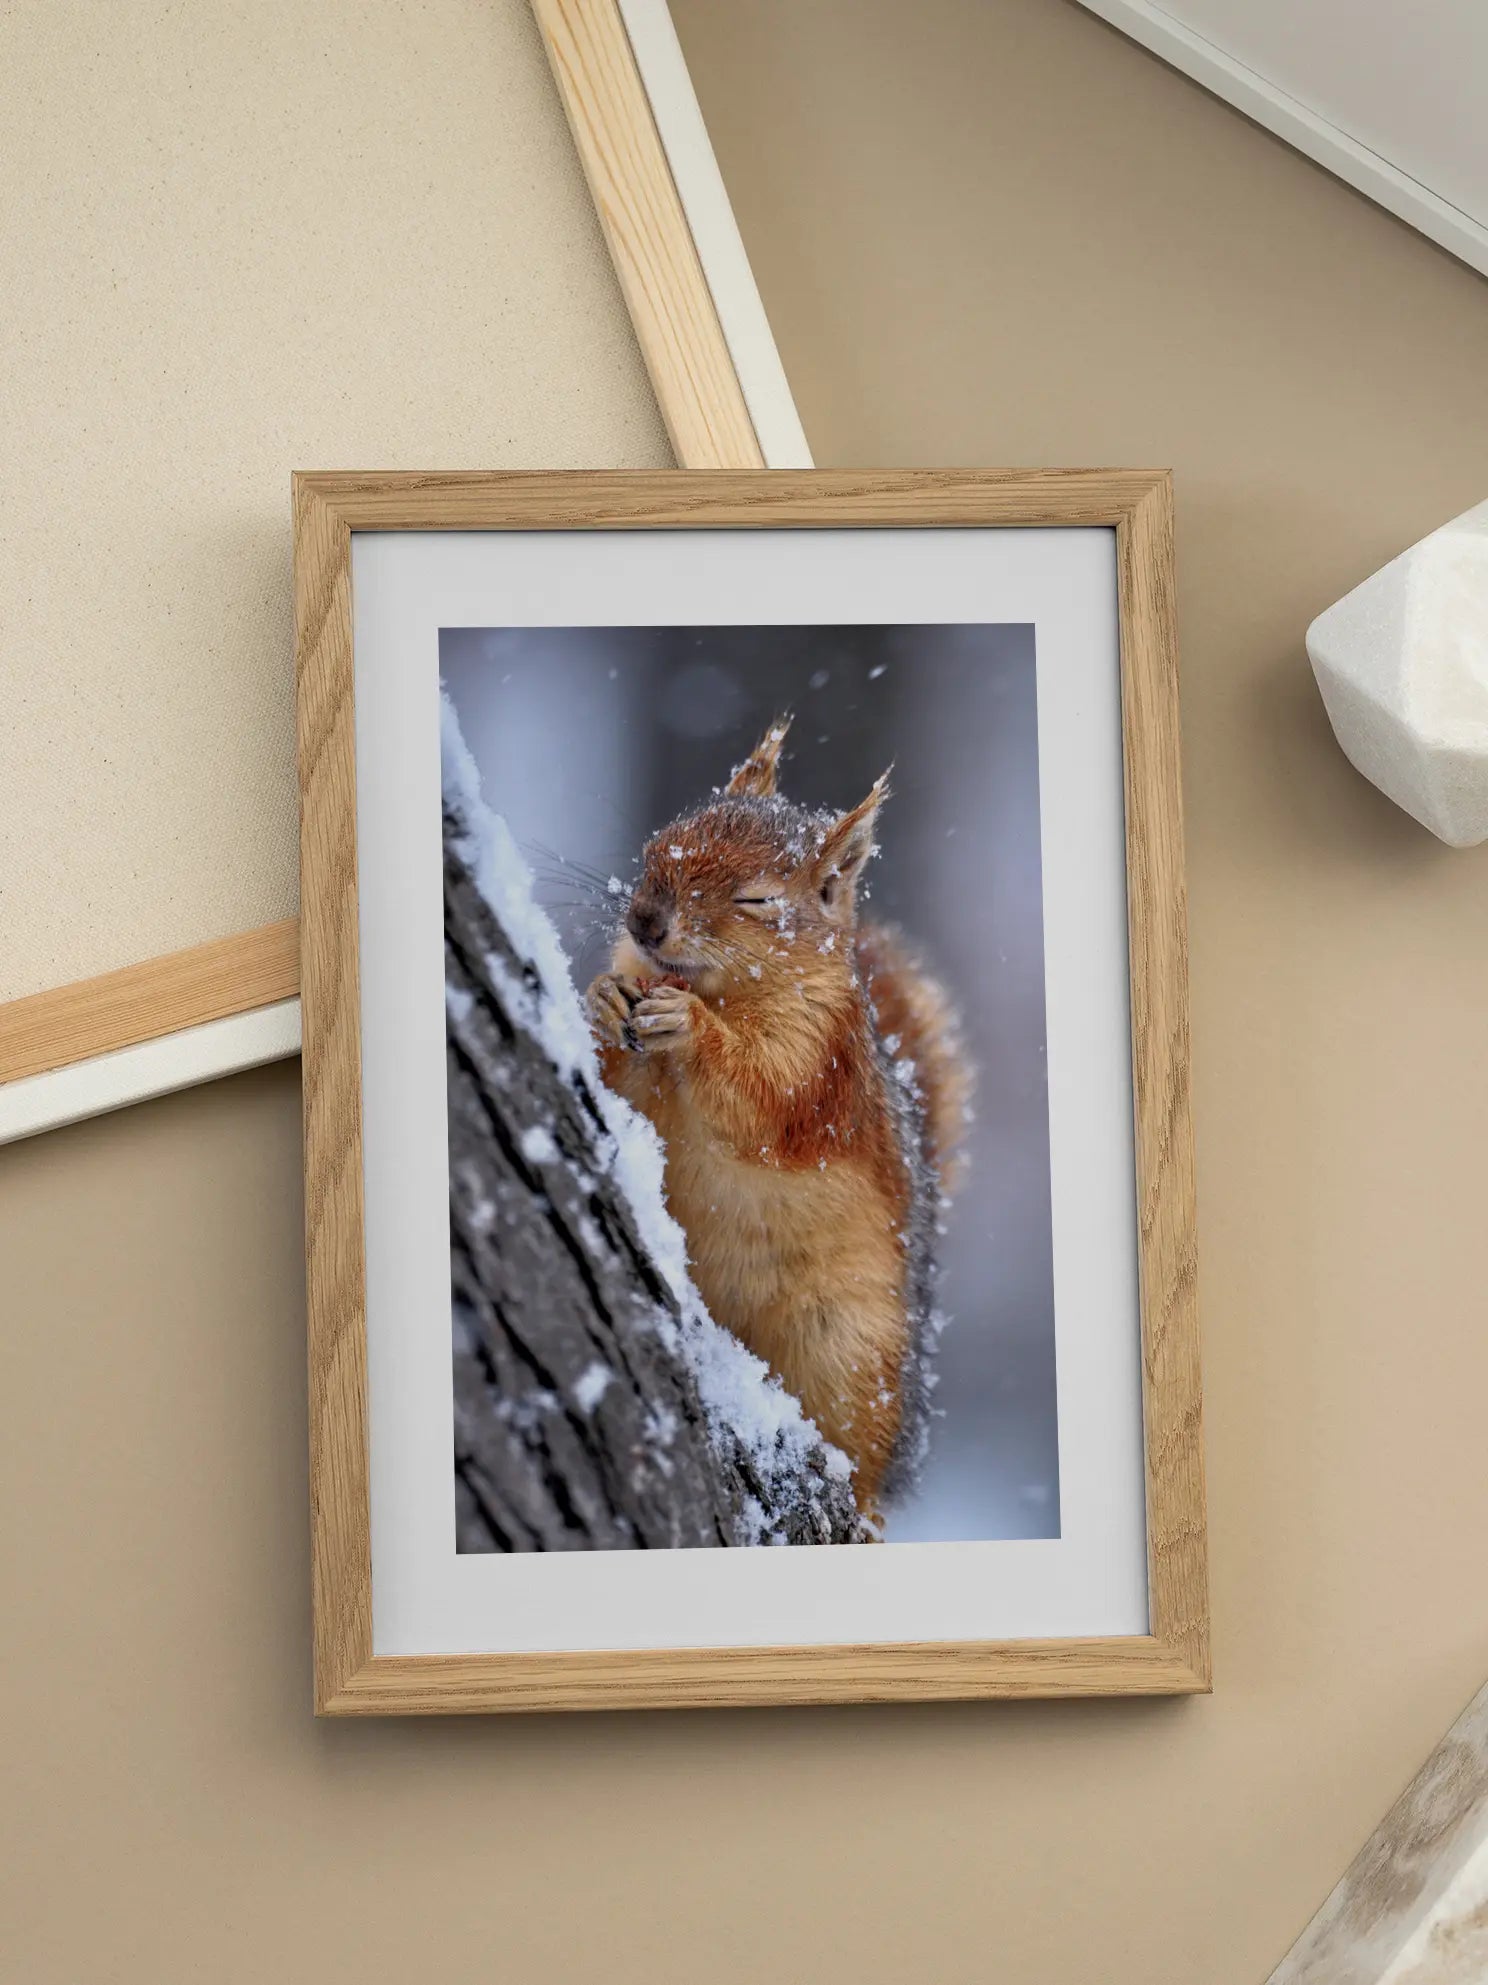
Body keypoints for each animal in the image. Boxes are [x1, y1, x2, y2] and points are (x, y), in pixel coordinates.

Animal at [585, 717, 972, 1518]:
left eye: (759, 901)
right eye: (660, 840)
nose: (644, 920)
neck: (720, 989)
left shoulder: (818, 1060)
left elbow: (761, 1098)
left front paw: (693, 1030)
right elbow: (621, 1077)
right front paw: (605, 997)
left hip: (846, 1346)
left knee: (860, 1458)